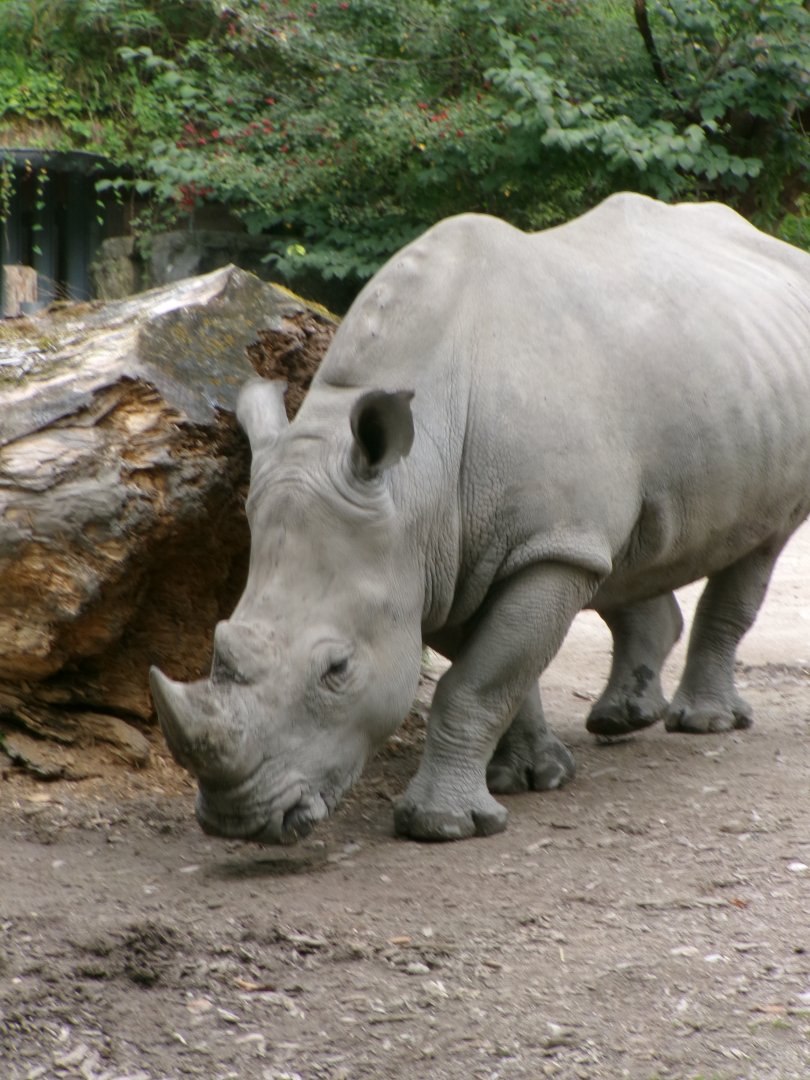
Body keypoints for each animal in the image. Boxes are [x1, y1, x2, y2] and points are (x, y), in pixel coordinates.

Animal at [150, 192, 810, 843]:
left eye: (337, 669)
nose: (237, 821)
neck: (414, 483)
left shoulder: (531, 547)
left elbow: (477, 682)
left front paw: (442, 826)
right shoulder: (442, 555)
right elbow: (499, 674)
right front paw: (531, 776)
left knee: (759, 544)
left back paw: (703, 723)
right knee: (626, 554)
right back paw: (620, 719)